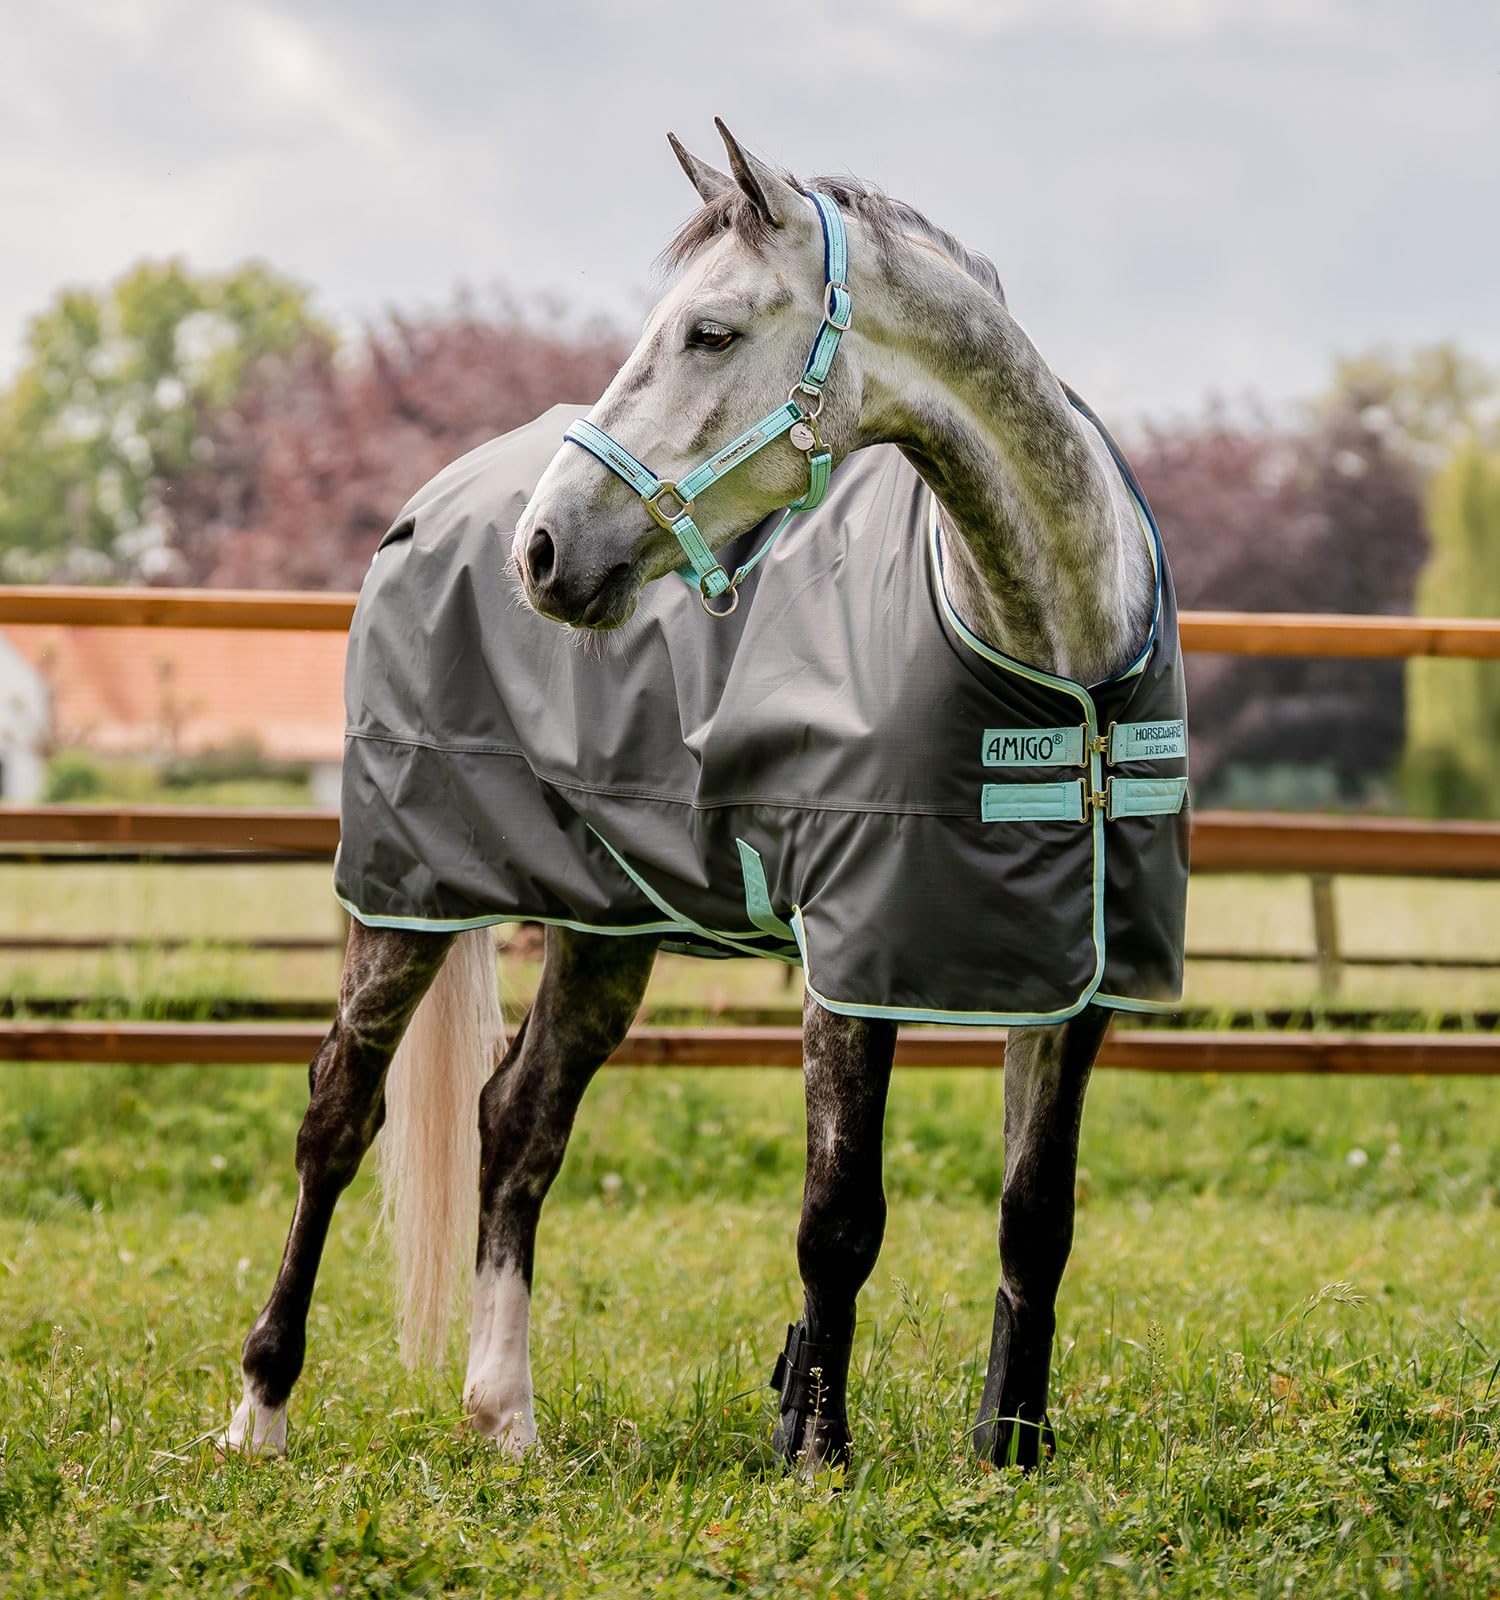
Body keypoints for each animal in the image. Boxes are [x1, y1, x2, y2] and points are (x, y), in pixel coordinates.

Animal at [224, 121, 1189, 1473]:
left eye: (711, 332)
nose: (544, 551)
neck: (1058, 663)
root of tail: (431, 507)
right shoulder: (851, 962)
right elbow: (839, 1218)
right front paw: (816, 1452)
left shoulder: (1072, 976)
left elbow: (1033, 1219)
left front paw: (1008, 1453)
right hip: (405, 896)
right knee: (336, 1116)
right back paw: (260, 1408)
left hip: (604, 925)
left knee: (517, 1122)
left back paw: (505, 1418)